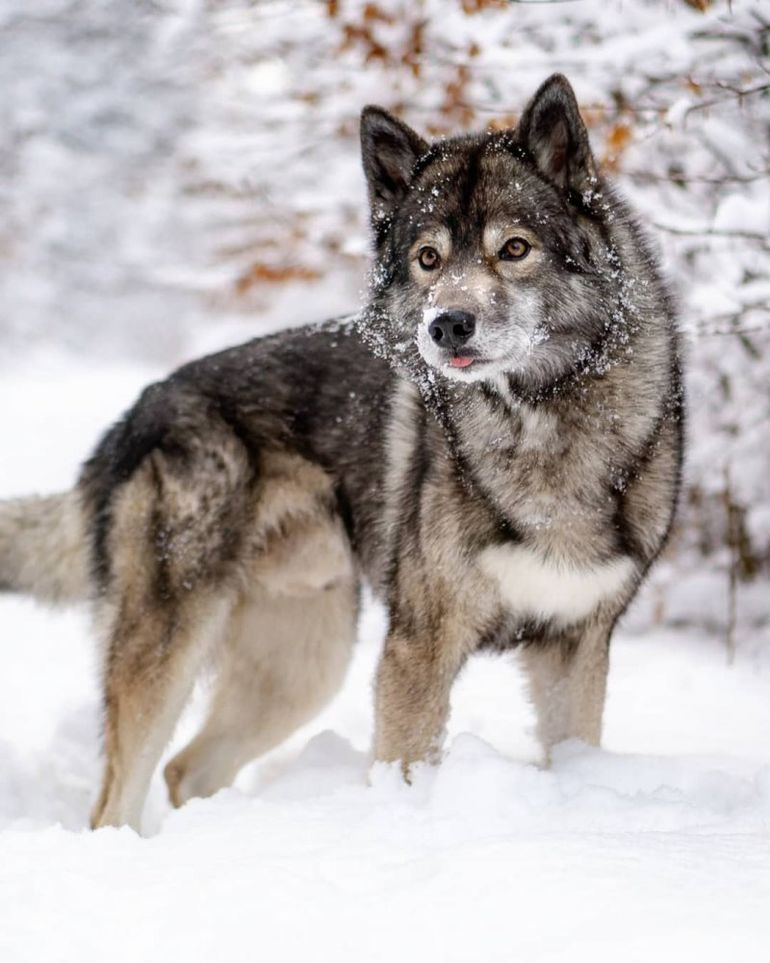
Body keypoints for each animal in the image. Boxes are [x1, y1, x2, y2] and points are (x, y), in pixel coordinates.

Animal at [0, 75, 680, 832]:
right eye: (428, 259)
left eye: (514, 248)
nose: (447, 325)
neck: (540, 421)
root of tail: (134, 414)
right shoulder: (419, 649)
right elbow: (407, 769)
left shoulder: (576, 649)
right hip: (173, 645)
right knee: (117, 797)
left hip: (304, 661)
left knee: (187, 767)